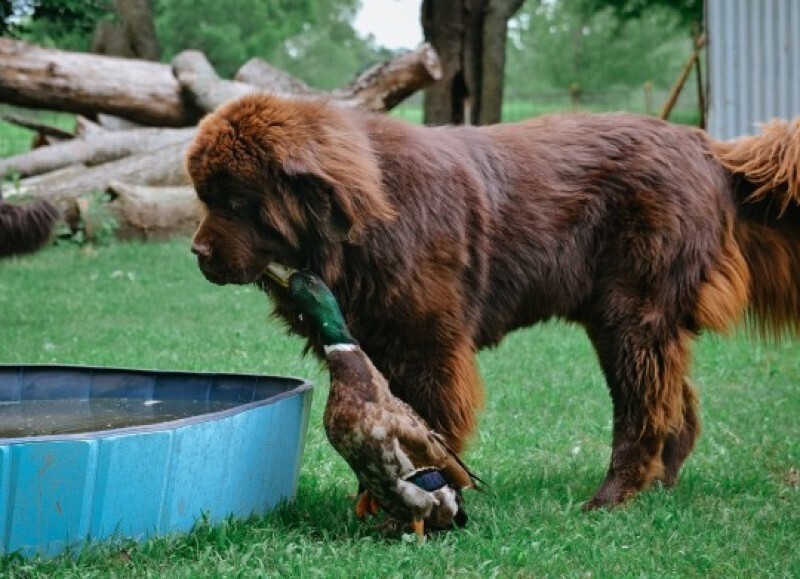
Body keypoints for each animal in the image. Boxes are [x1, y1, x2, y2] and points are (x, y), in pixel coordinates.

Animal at [186, 96, 800, 512]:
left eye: (235, 201)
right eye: (203, 197)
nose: (197, 252)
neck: (363, 223)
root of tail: (707, 147)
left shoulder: (427, 348)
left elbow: (422, 427)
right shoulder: (372, 343)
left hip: (631, 315)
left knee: (644, 408)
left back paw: (611, 496)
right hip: (634, 319)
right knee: (676, 401)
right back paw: (659, 485)